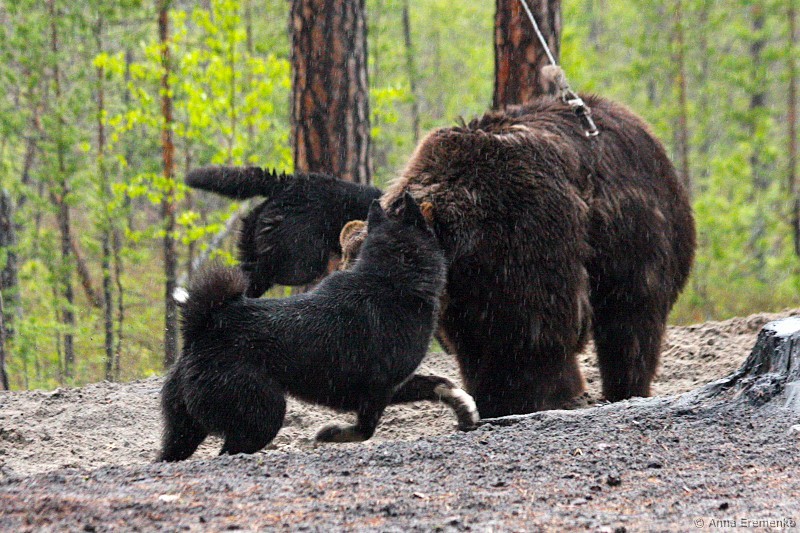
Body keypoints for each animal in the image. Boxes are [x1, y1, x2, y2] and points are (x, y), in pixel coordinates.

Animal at [157, 194, 478, 462]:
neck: (390, 279)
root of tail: (204, 328)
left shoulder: (395, 384)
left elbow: (439, 383)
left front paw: (465, 409)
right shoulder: (377, 390)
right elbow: (365, 430)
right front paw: (331, 434)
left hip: (185, 432)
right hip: (263, 416)